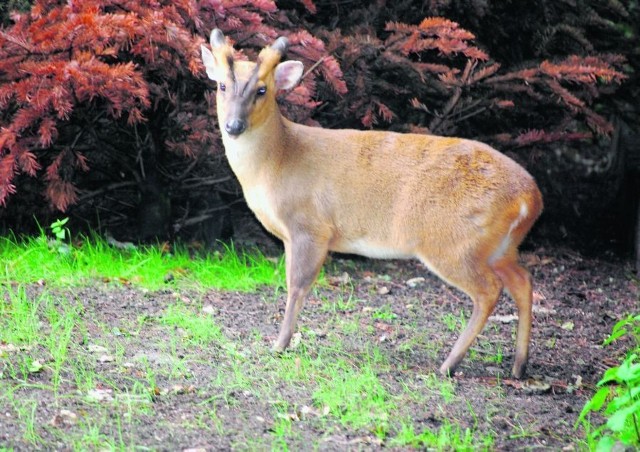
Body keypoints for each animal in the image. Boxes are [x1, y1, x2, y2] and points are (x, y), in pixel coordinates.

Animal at [202, 29, 544, 378]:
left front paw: (280, 345)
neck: (277, 162)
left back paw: (449, 365)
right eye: (222, 85)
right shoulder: (289, 235)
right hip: (499, 246)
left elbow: (297, 286)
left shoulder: (309, 226)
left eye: (262, 89)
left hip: (452, 241)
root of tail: (531, 197)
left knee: (489, 290)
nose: (233, 126)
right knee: (523, 281)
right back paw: (518, 365)